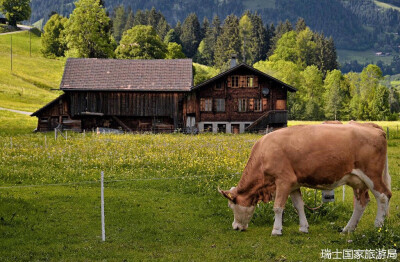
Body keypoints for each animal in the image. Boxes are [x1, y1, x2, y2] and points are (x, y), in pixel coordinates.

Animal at [219, 123, 390, 235]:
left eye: (231, 206)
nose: (235, 227)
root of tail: (372, 126)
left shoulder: (283, 180)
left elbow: (278, 207)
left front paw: (276, 229)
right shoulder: (294, 184)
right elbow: (299, 206)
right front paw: (303, 228)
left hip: (372, 175)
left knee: (383, 196)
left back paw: (378, 226)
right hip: (357, 181)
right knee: (361, 203)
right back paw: (349, 228)